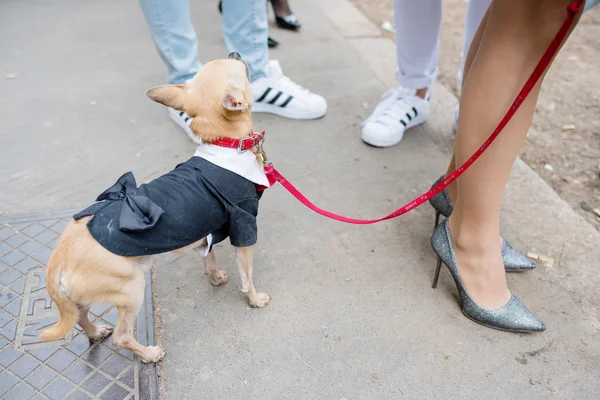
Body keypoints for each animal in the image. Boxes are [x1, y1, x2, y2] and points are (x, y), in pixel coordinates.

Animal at [39, 53, 270, 362]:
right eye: (238, 70)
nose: (236, 54)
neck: (226, 144)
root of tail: (57, 263)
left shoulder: (206, 228)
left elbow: (208, 256)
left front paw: (215, 276)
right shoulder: (243, 224)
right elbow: (247, 275)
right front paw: (254, 299)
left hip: (87, 296)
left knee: (80, 316)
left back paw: (96, 332)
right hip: (131, 288)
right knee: (122, 337)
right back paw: (148, 354)